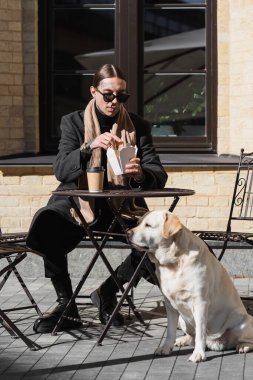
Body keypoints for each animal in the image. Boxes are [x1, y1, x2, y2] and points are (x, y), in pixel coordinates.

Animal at [127, 211, 253, 362]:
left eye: (148, 225)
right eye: (138, 223)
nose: (127, 233)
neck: (174, 261)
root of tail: (215, 343)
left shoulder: (200, 303)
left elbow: (200, 332)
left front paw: (198, 354)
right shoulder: (169, 304)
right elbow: (170, 331)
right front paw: (165, 348)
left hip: (243, 321)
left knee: (244, 339)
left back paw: (243, 346)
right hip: (182, 319)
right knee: (191, 336)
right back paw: (182, 340)